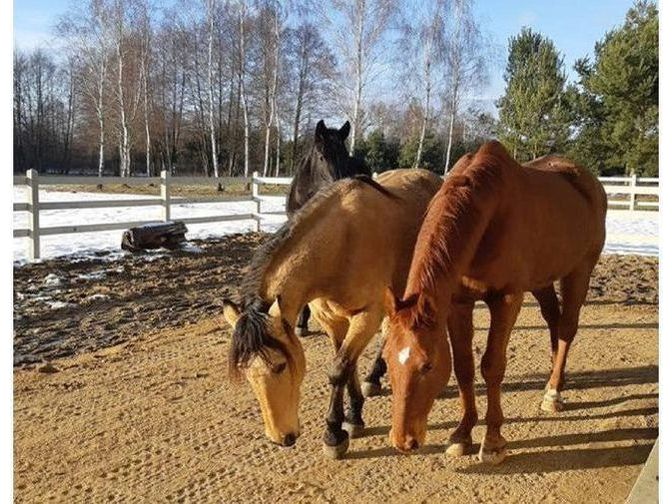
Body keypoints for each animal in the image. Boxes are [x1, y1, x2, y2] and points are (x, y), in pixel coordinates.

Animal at [222, 168, 440, 456]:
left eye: (280, 366)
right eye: (246, 372)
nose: (281, 438)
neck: (342, 244)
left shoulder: (366, 315)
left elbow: (338, 370)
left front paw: (334, 433)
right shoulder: (333, 321)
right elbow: (346, 365)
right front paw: (354, 415)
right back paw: (374, 376)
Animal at [380, 141, 608, 464]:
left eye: (427, 365)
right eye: (386, 360)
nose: (403, 441)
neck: (487, 215)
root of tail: (590, 183)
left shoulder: (507, 299)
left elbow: (492, 366)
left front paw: (492, 441)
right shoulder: (457, 304)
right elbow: (464, 366)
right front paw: (462, 434)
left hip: (579, 271)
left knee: (566, 328)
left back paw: (553, 393)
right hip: (541, 281)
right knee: (553, 319)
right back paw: (557, 377)